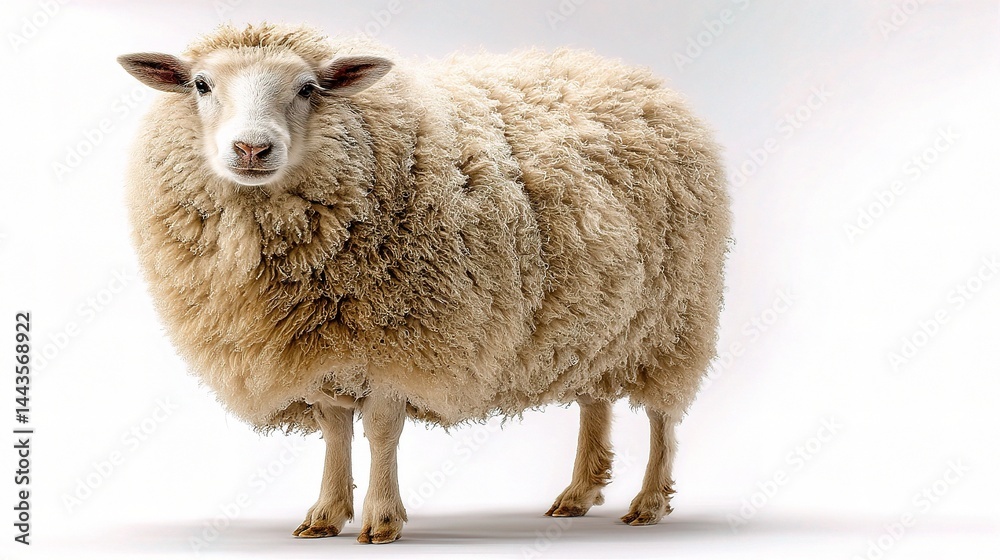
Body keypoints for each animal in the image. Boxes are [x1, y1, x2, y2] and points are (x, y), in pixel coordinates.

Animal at [118, 23, 730, 544]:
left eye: (309, 88)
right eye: (201, 85)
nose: (251, 149)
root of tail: (637, 78)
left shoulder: (403, 341)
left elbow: (381, 430)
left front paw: (382, 520)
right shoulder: (324, 344)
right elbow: (335, 428)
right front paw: (326, 514)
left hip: (675, 318)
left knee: (662, 417)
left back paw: (649, 503)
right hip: (595, 318)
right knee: (595, 398)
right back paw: (579, 493)